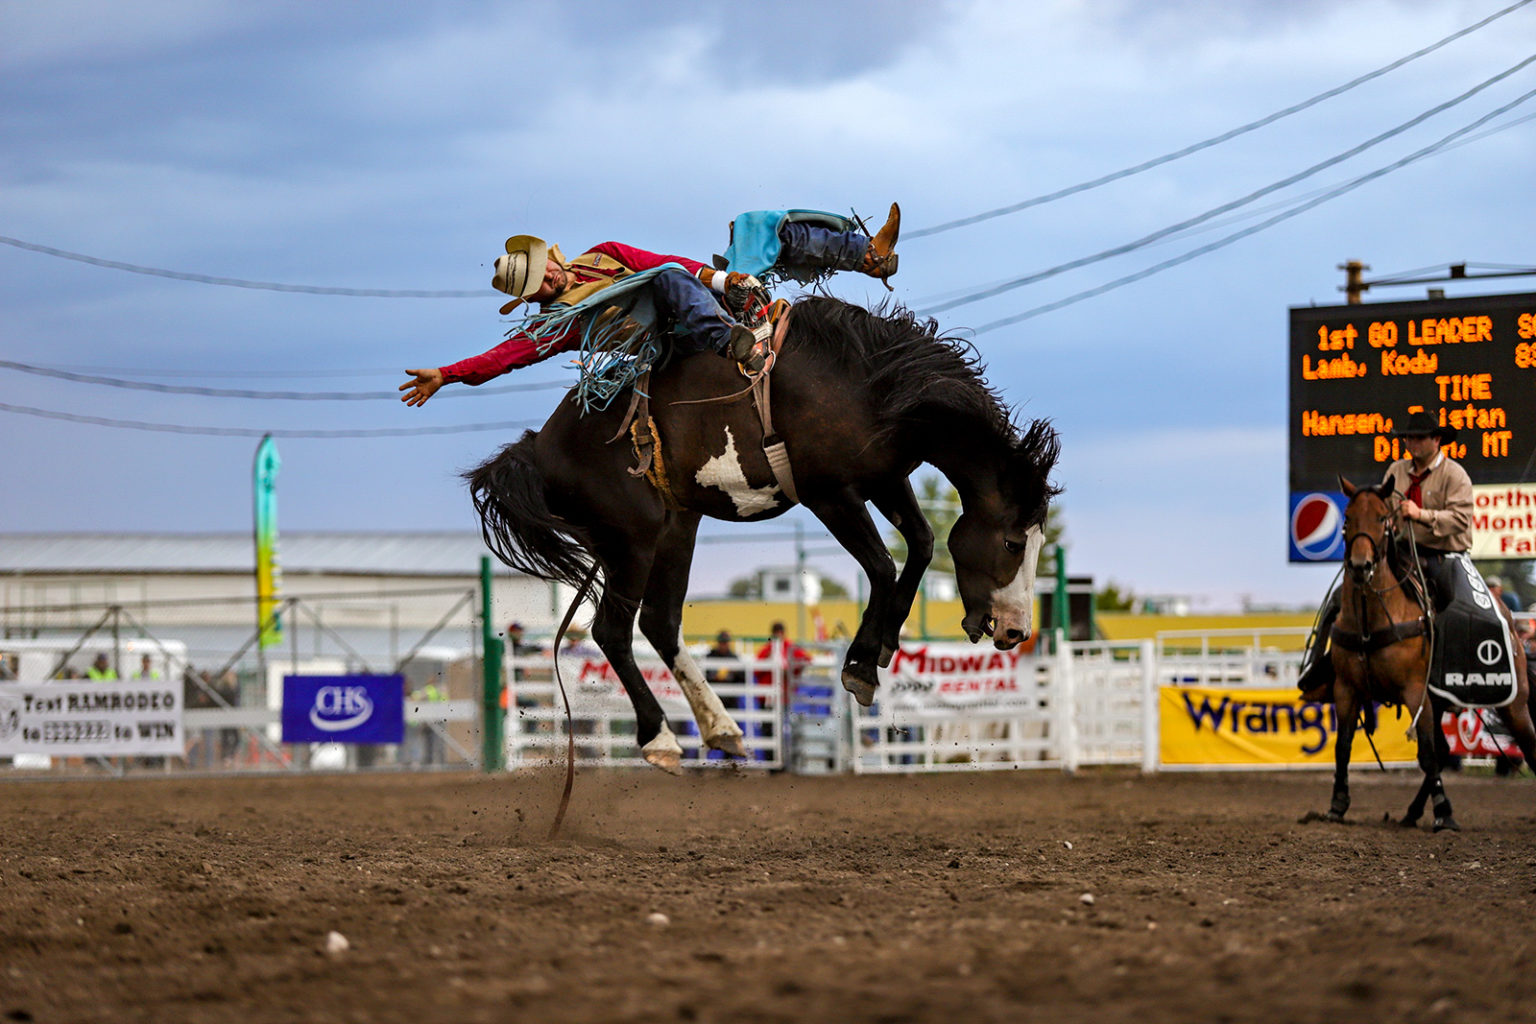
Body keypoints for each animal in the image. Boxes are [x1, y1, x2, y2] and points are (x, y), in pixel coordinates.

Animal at [1327, 482, 1529, 835]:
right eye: (1348, 518)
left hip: (1513, 704)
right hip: (1440, 703)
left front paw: (1445, 813)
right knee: (1446, 751)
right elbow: (1343, 745)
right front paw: (1337, 805)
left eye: (1382, 518)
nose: (1361, 566)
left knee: (1527, 743)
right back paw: (1411, 812)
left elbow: (1428, 754)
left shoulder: (1414, 690)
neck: (1371, 619)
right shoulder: (1346, 688)